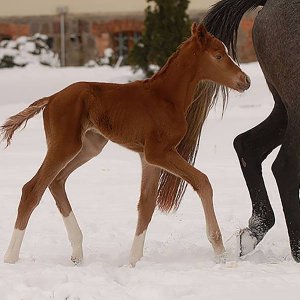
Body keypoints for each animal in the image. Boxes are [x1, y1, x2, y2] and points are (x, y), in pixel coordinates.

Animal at [1, 23, 251, 264]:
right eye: (218, 56)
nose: (245, 81)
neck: (167, 98)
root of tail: (51, 98)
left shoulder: (148, 157)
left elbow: (147, 205)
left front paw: (132, 262)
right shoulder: (159, 152)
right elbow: (203, 182)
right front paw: (219, 250)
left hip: (89, 147)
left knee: (56, 182)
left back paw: (77, 251)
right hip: (65, 145)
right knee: (32, 189)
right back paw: (11, 258)